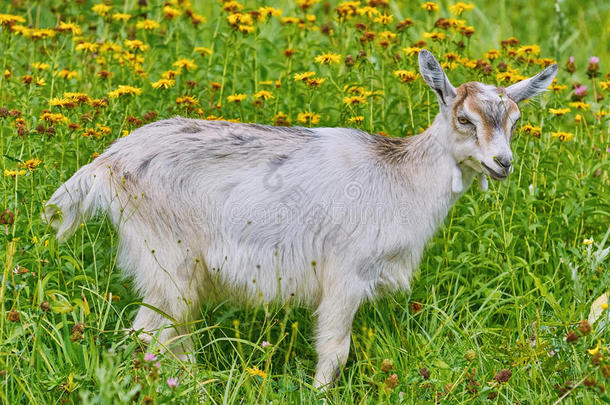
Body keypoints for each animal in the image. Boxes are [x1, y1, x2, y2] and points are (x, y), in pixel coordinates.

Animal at [44, 49, 556, 386]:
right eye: (464, 119)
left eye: (514, 120)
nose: (503, 163)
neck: (401, 177)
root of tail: (108, 162)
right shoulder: (346, 273)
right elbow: (335, 350)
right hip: (169, 260)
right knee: (150, 336)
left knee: (168, 338)